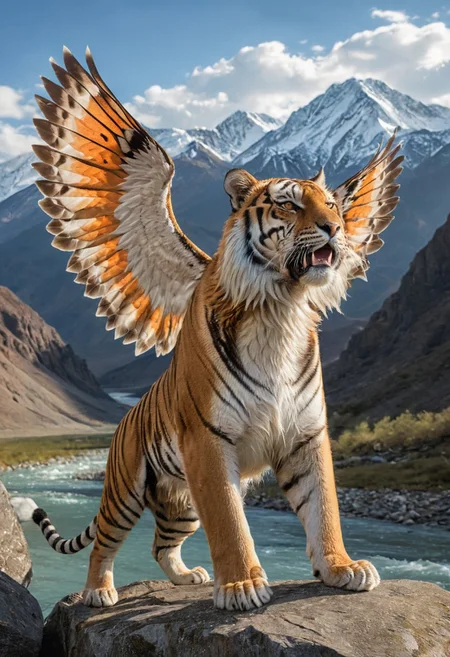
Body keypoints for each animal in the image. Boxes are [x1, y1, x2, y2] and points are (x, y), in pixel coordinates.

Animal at [31, 47, 403, 611]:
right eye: (289, 203)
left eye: (337, 204)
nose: (336, 228)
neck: (281, 308)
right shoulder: (208, 441)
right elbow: (230, 522)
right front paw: (244, 586)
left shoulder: (307, 433)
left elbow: (324, 509)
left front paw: (342, 568)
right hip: (125, 490)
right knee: (104, 544)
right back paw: (99, 592)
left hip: (180, 501)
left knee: (162, 546)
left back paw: (188, 579)